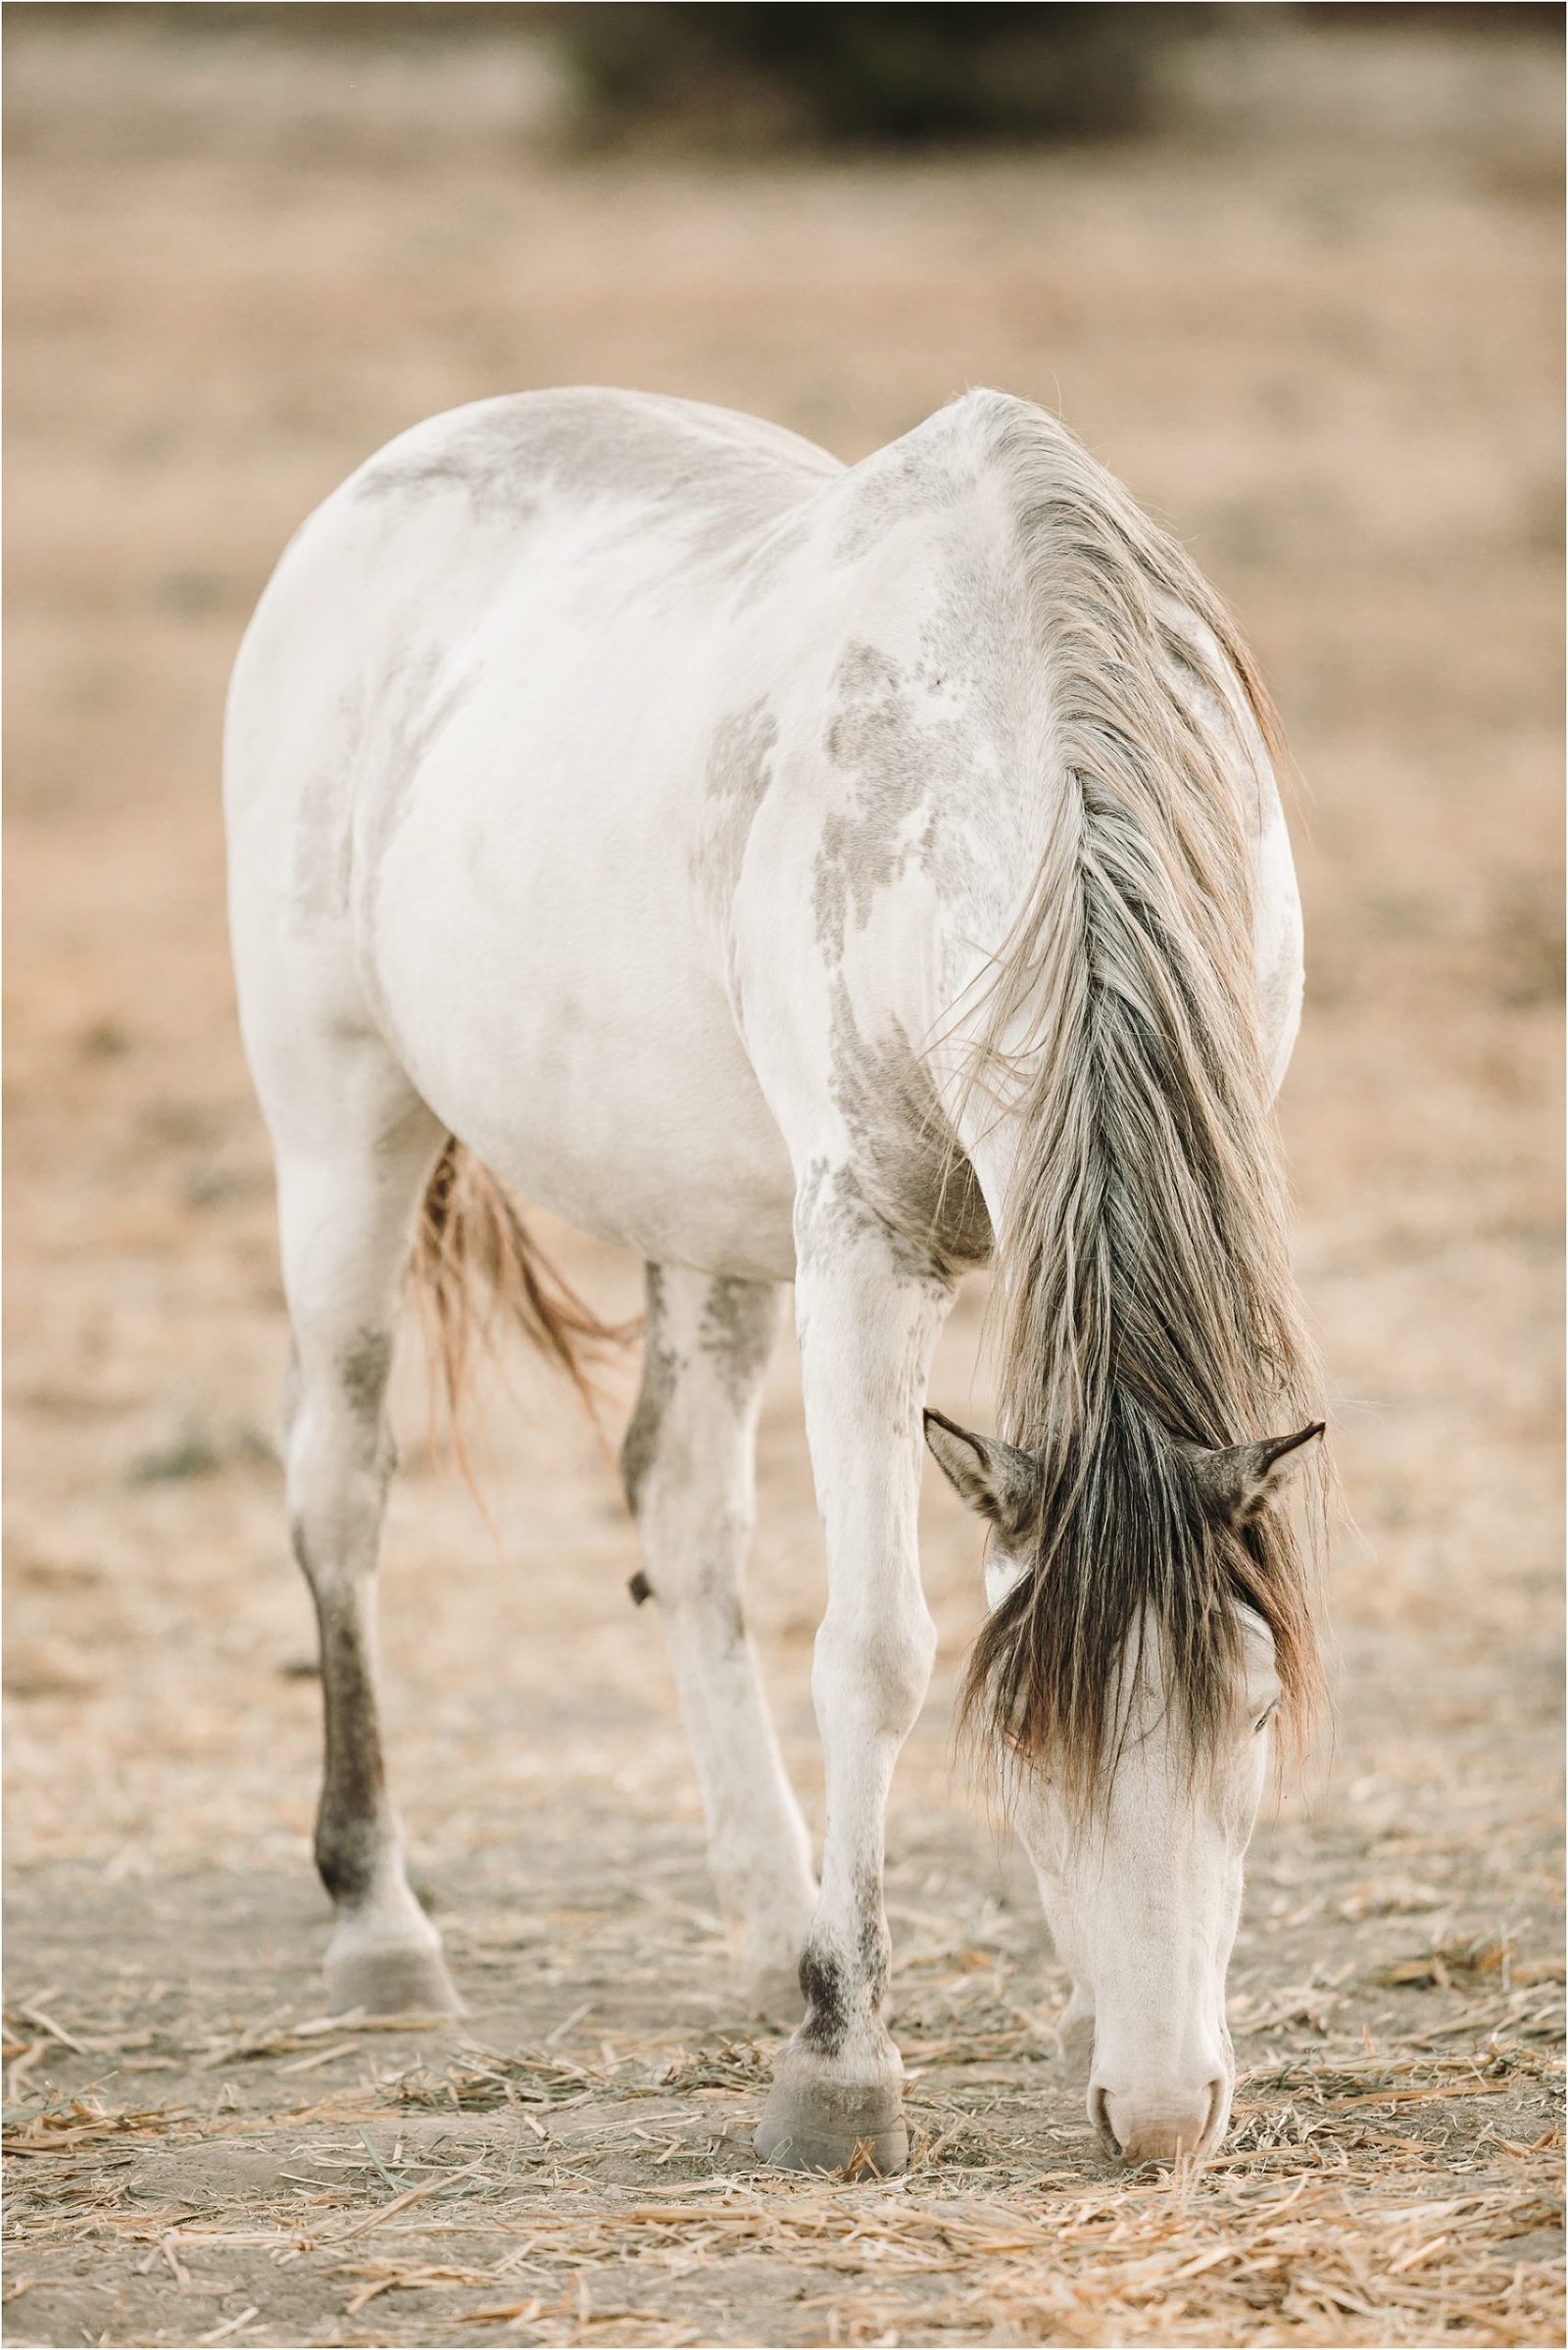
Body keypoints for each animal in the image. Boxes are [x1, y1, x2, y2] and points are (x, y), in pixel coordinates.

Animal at [222, 380, 1325, 2162]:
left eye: (1259, 1706)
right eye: (1020, 1740)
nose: (1164, 2113)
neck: (1013, 730)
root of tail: (383, 478)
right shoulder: (865, 1224)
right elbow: (876, 1644)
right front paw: (841, 2062)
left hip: (707, 1213)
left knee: (680, 1508)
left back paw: (770, 1913)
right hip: (343, 1126)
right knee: (341, 1486)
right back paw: (382, 1920)